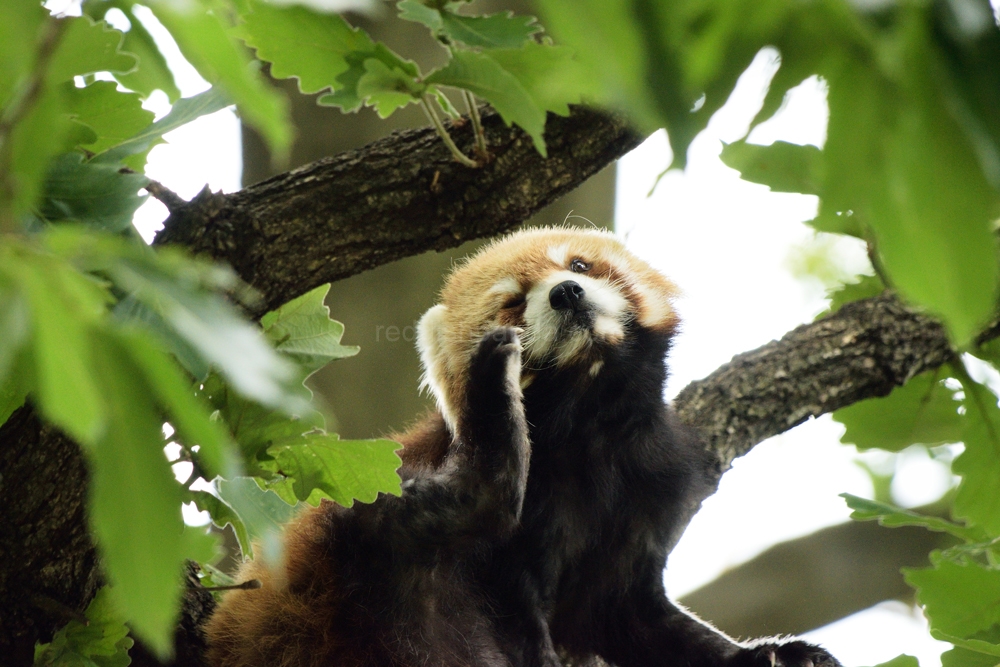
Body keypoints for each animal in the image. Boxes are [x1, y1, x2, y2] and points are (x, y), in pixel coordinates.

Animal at [205, 228, 844, 667]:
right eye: (512, 302)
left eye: (579, 264)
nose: (566, 293)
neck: (593, 430)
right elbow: (518, 607)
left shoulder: (653, 492)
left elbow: (637, 619)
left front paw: (767, 654)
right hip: (333, 572)